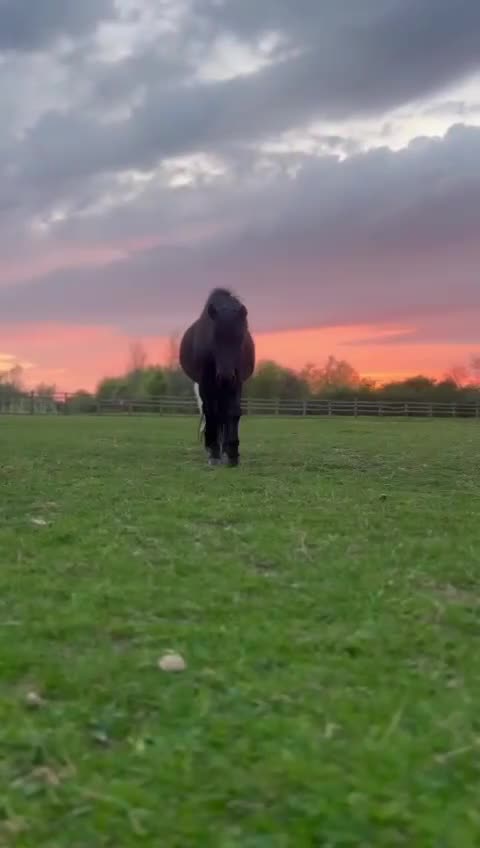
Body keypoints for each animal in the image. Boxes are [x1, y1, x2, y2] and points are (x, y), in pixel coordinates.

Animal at [179, 288, 255, 466]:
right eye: (214, 337)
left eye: (239, 338)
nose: (225, 376)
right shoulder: (205, 383)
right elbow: (211, 413)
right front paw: (214, 452)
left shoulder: (237, 381)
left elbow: (233, 412)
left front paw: (232, 453)